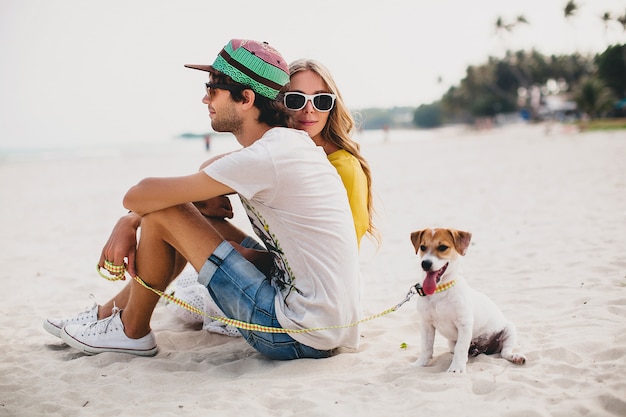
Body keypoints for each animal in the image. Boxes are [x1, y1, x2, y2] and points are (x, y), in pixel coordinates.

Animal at [408, 228, 524, 374]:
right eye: (422, 247)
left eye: (442, 247)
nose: (425, 263)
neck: (440, 291)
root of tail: (486, 349)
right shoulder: (426, 324)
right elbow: (426, 347)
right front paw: (420, 364)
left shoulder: (464, 324)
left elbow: (461, 348)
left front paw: (456, 368)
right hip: (451, 343)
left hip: (510, 329)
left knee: (505, 352)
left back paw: (515, 357)